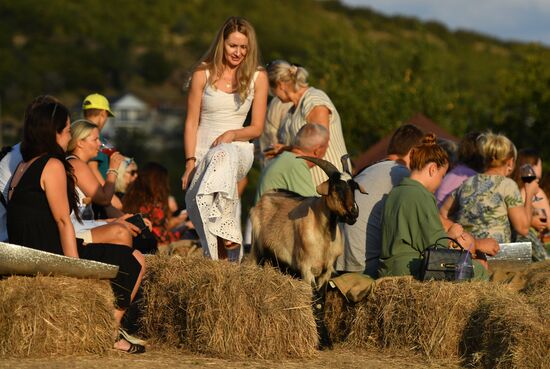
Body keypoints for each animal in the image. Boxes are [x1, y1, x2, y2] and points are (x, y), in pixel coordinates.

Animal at [250, 155, 366, 348]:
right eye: (336, 187)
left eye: (353, 187)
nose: (353, 213)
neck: (323, 235)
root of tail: (267, 194)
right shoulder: (306, 268)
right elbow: (315, 302)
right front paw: (321, 342)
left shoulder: (326, 271)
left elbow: (322, 301)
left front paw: (326, 340)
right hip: (257, 251)